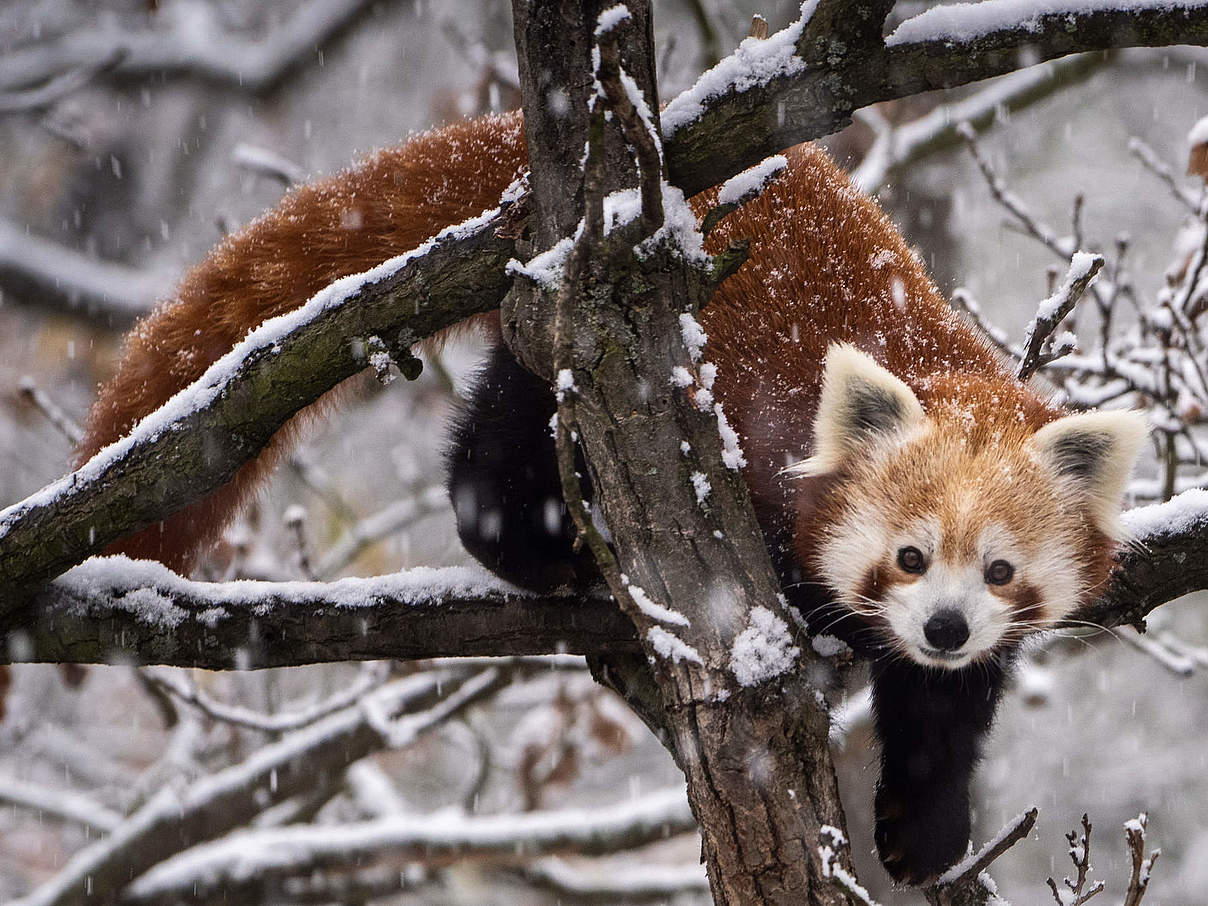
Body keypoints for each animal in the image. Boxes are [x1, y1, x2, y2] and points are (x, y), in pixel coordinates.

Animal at [80, 109, 1145, 884]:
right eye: (909, 556)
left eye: (999, 571)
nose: (945, 627)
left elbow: (947, 709)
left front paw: (923, 822)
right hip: (570, 320)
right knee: (508, 432)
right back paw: (535, 543)